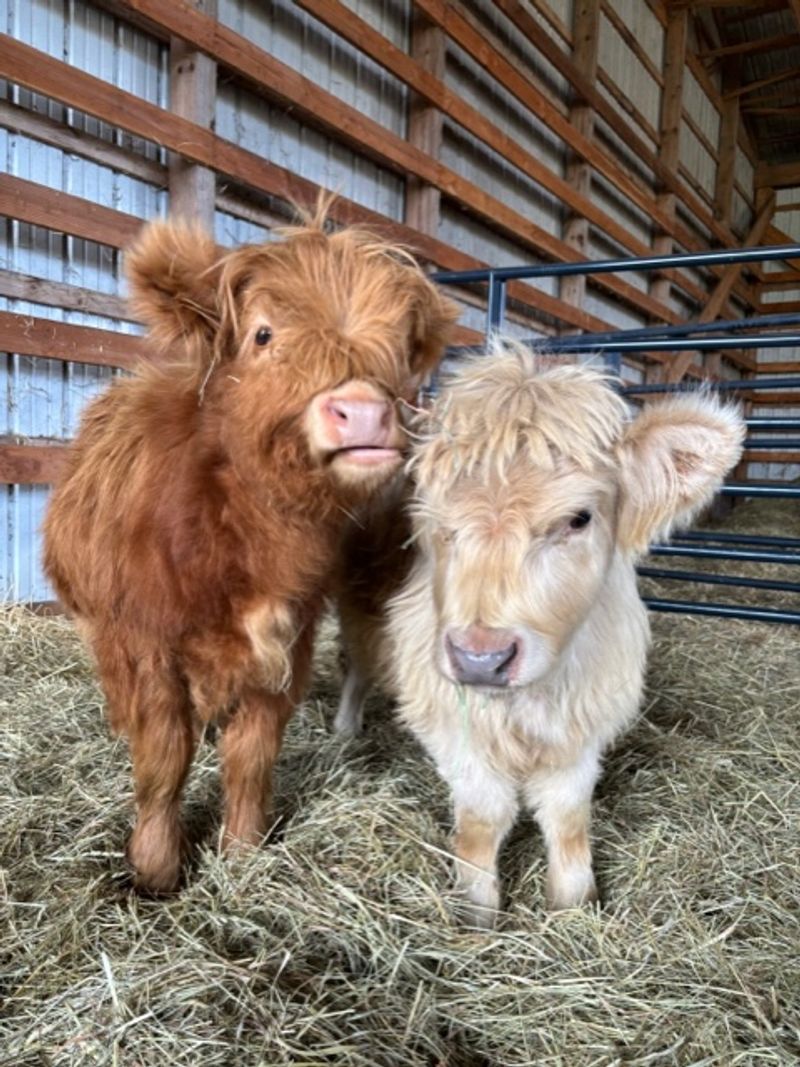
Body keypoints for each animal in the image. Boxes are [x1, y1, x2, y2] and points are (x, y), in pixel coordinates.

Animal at [43, 209, 459, 893]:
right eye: (264, 333)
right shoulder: (146, 643)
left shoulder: (285, 639)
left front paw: (241, 853)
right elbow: (164, 753)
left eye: (400, 342)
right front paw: (155, 867)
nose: (364, 414)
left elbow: (252, 753)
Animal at [335, 340, 744, 927]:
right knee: (357, 667)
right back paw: (345, 729)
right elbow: (483, 818)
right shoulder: (449, 715)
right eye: (432, 515)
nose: (480, 659)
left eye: (579, 518)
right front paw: (475, 912)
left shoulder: (586, 722)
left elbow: (568, 816)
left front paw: (574, 904)